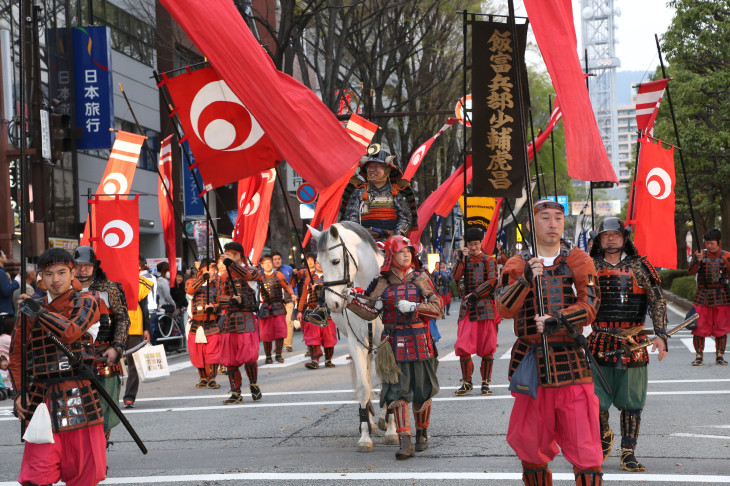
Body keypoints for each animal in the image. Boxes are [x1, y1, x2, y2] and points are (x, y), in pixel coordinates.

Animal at [308, 222, 398, 454]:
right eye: (319, 263)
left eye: (335, 261)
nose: (333, 304)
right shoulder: (357, 342)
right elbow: (363, 387)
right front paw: (365, 435)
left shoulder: (388, 342)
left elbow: (391, 382)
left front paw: (391, 431)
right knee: (363, 376)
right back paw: (371, 421)